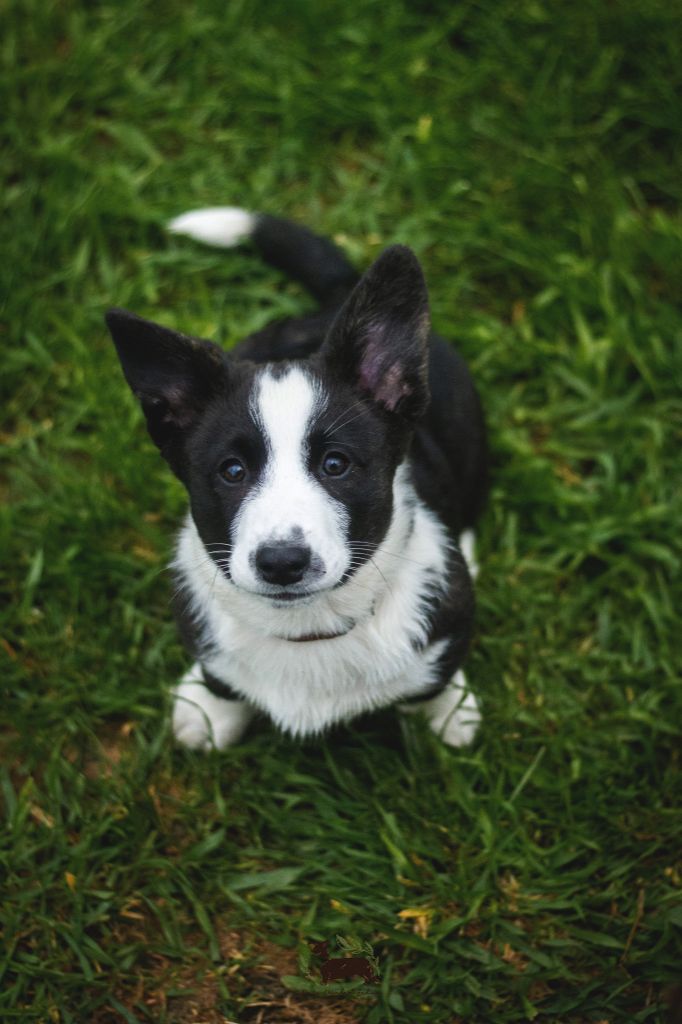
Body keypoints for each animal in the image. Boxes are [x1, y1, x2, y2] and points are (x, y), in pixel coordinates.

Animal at [105, 208, 487, 749]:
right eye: (232, 471)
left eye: (335, 464)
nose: (282, 563)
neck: (308, 628)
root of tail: (337, 297)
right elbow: (220, 676)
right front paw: (209, 710)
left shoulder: (450, 621)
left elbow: (435, 677)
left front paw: (450, 713)